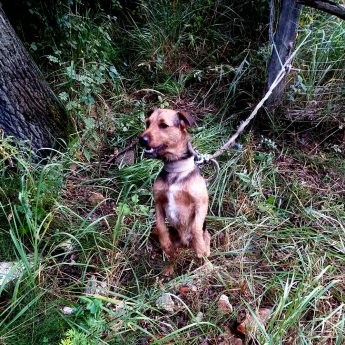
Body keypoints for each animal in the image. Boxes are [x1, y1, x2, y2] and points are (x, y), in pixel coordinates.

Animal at [139, 109, 210, 272]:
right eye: (147, 123)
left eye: (163, 125)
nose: (141, 140)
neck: (175, 170)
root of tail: (185, 245)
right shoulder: (158, 202)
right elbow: (160, 226)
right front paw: (165, 242)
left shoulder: (201, 203)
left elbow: (196, 228)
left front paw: (199, 246)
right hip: (166, 240)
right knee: (173, 255)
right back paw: (168, 268)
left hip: (207, 236)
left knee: (204, 253)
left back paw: (208, 266)